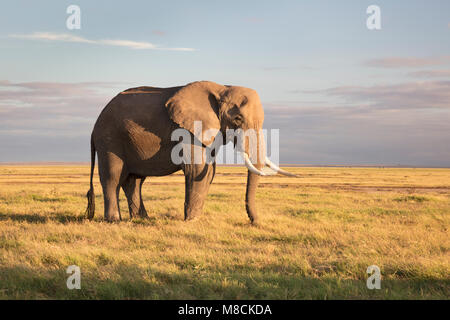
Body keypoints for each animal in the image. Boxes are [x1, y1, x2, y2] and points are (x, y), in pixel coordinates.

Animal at [85, 80, 296, 225]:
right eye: (237, 118)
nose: (255, 222)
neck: (222, 88)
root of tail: (94, 126)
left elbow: (209, 171)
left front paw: (195, 219)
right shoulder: (187, 130)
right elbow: (197, 170)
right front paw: (192, 221)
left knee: (134, 181)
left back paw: (142, 219)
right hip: (110, 139)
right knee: (113, 177)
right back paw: (114, 220)